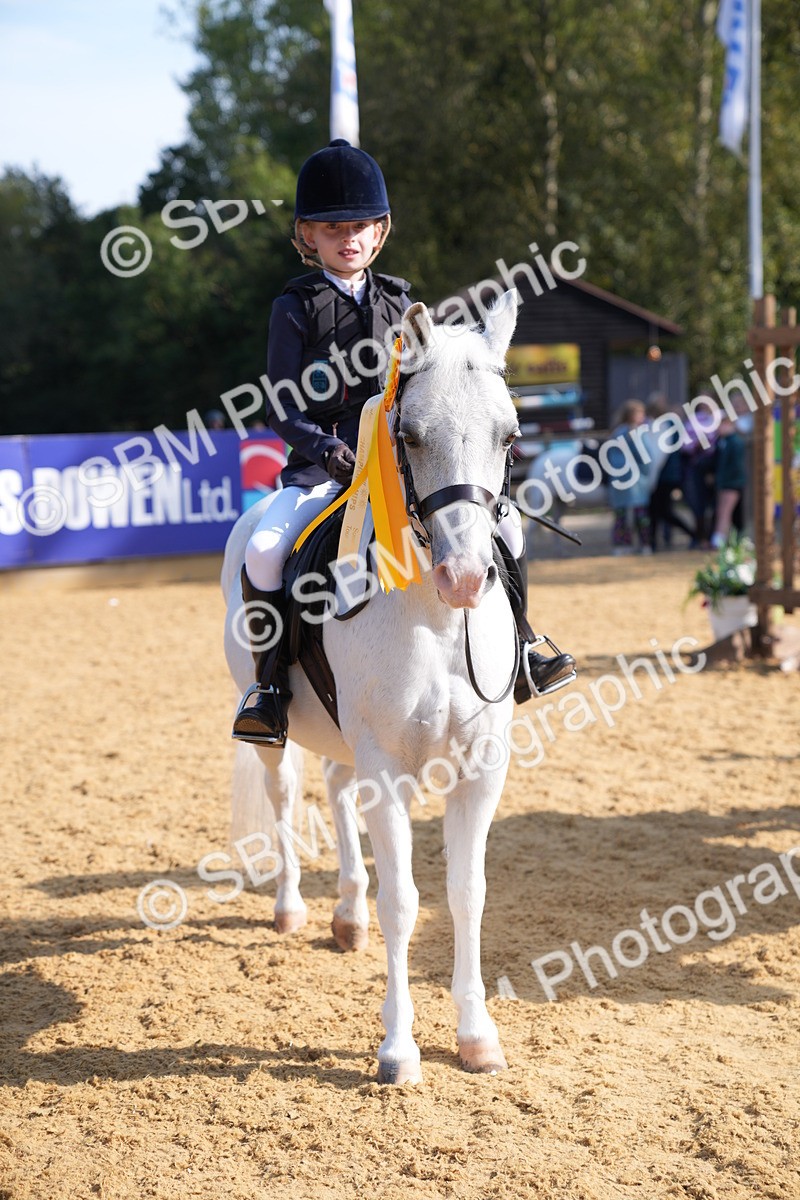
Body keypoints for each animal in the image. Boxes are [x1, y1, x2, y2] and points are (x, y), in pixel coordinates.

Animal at [222, 290, 522, 1084]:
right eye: (410, 436)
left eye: (509, 437)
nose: (465, 579)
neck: (433, 617)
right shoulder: (388, 768)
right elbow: (405, 904)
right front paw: (398, 1051)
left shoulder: (480, 768)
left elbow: (467, 894)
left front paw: (477, 1037)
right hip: (280, 731)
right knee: (287, 796)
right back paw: (293, 909)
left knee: (334, 789)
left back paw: (346, 916)